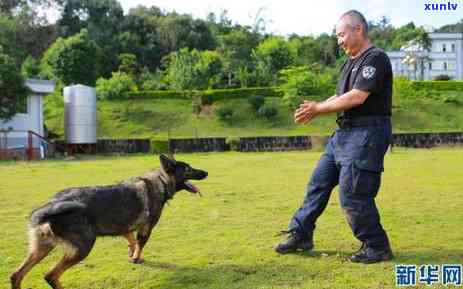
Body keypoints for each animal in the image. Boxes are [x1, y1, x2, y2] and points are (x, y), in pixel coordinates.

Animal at [9, 155, 208, 288]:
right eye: (188, 169)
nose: (206, 172)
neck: (161, 181)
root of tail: (51, 204)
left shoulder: (125, 227)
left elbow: (131, 240)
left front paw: (132, 254)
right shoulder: (146, 228)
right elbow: (140, 243)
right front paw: (136, 257)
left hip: (41, 248)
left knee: (16, 275)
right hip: (82, 248)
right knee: (50, 275)